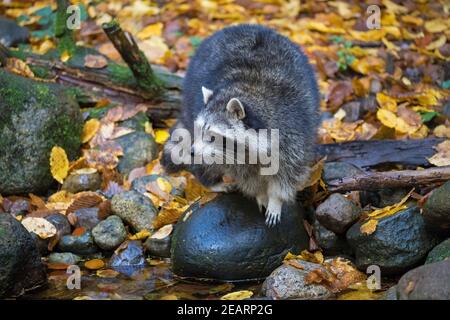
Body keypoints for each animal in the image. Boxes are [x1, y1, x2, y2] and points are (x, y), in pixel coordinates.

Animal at [162, 24, 320, 225]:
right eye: (200, 130)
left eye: (213, 136)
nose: (192, 151)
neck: (246, 90)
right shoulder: (233, 157)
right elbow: (246, 176)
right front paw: (260, 194)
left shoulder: (294, 130)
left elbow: (288, 172)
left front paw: (276, 199)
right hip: (191, 100)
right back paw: (211, 180)